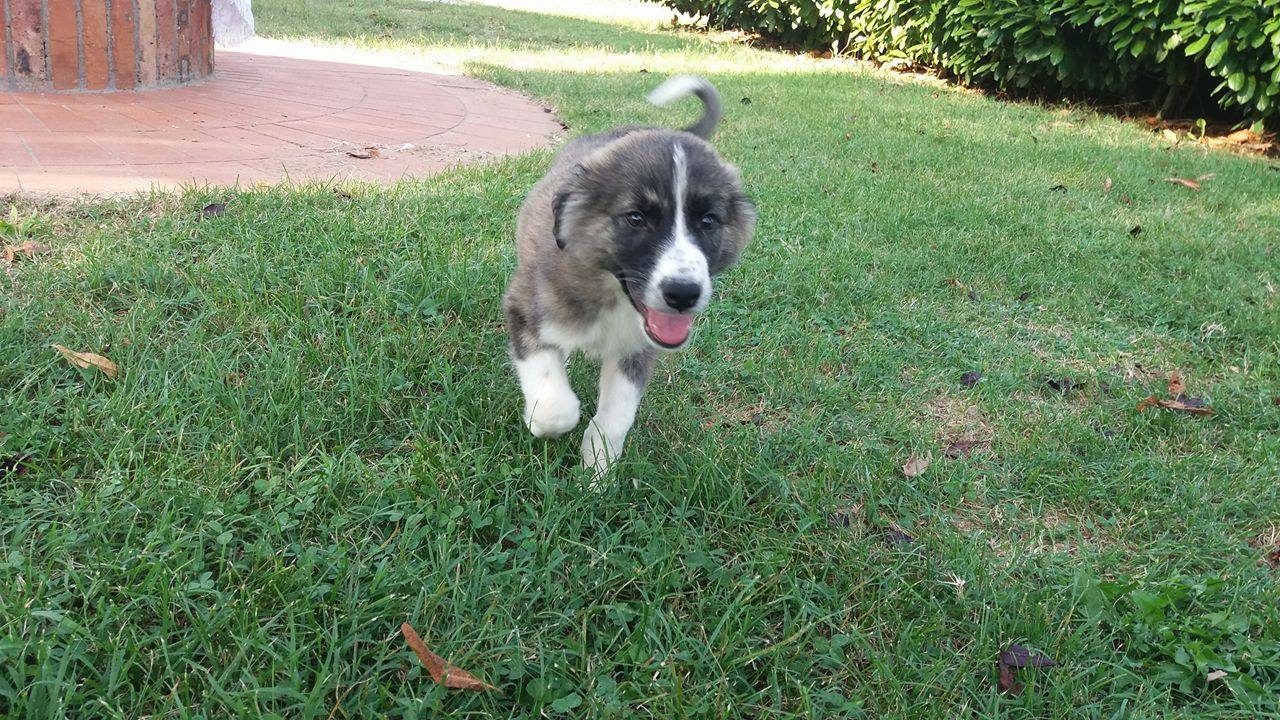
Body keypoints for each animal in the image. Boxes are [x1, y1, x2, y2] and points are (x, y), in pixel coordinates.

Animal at [503, 75, 756, 476]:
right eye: (636, 218)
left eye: (708, 221)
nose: (683, 294)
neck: (612, 295)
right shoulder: (523, 309)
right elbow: (557, 408)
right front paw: (540, 417)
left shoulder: (638, 349)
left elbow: (615, 419)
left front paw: (597, 470)